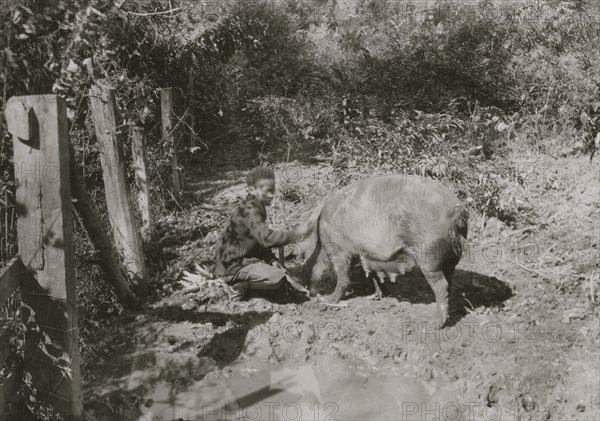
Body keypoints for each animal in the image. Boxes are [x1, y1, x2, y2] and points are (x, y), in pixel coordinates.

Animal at [296, 174, 468, 324]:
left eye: (305, 265)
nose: (308, 293)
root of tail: (457, 210)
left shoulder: (339, 248)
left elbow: (343, 276)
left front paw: (327, 300)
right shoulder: (368, 254)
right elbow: (373, 274)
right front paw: (378, 296)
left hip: (429, 254)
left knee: (441, 285)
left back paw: (435, 323)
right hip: (452, 257)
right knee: (449, 280)